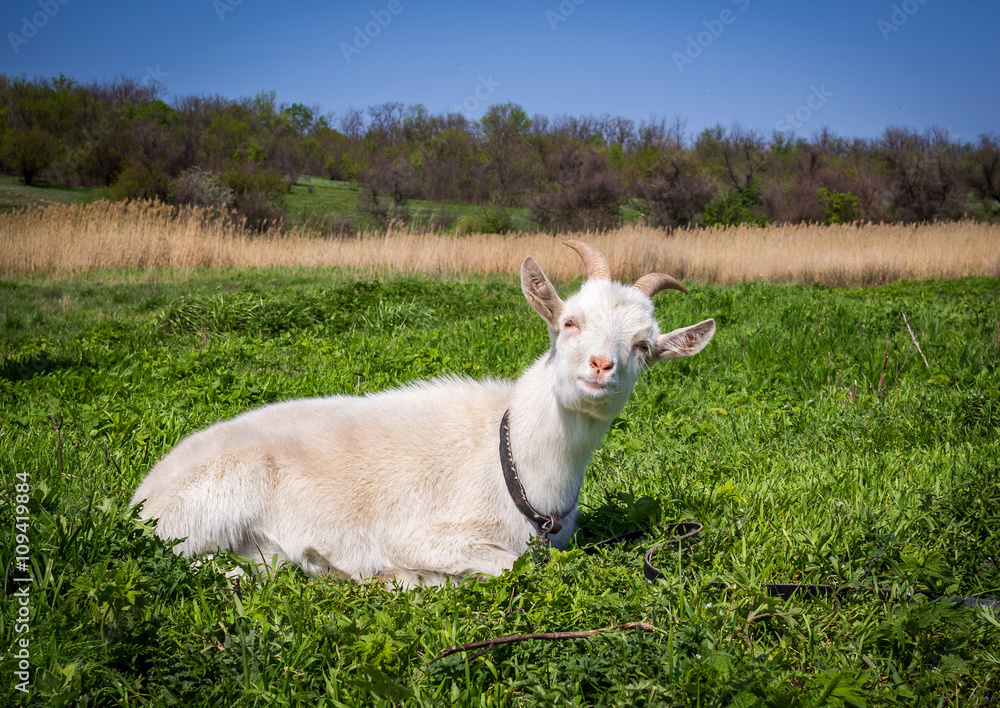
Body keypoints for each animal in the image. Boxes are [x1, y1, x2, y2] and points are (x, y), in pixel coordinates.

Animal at [130, 241, 715, 586]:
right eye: (568, 321)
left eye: (644, 346)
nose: (601, 365)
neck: (511, 456)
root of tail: (143, 497)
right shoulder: (418, 533)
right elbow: (506, 564)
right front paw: (403, 576)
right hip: (212, 502)